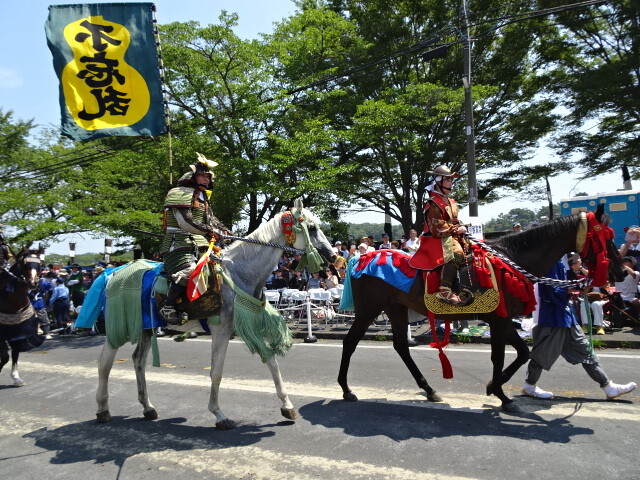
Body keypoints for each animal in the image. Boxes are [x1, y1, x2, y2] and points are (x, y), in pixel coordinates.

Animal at [0, 248, 44, 386]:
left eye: (40, 265)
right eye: (25, 265)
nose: (33, 283)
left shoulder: (19, 332)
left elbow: (15, 354)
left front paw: (16, 378)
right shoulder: (1, 335)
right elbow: (5, 357)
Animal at [96, 199, 336, 428]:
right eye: (312, 228)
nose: (333, 256)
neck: (239, 272)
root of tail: (113, 272)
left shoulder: (250, 324)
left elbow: (272, 362)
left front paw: (287, 406)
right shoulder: (221, 329)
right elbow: (216, 372)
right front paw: (219, 415)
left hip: (147, 326)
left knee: (138, 360)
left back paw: (147, 407)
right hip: (120, 325)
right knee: (105, 362)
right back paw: (103, 409)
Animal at [340, 204, 624, 410]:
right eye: (605, 236)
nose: (619, 271)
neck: (511, 260)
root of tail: (361, 258)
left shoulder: (503, 318)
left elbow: (523, 352)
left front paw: (494, 386)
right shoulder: (498, 320)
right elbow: (500, 356)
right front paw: (501, 394)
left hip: (396, 308)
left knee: (401, 346)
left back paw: (429, 390)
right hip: (369, 309)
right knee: (350, 341)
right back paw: (346, 389)